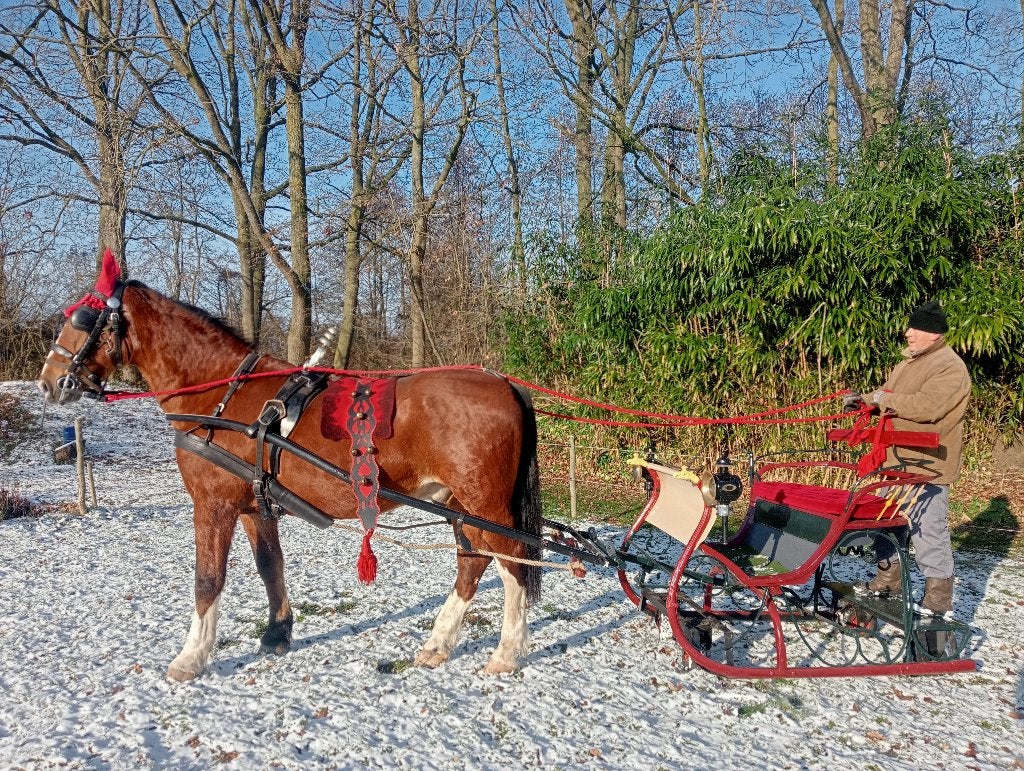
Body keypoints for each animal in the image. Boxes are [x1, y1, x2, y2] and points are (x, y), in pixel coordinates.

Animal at [36, 255, 542, 681]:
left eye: (81, 320)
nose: (48, 381)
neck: (220, 394)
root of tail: (504, 383)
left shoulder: (213, 504)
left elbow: (208, 579)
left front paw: (191, 657)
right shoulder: (252, 505)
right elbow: (269, 565)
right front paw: (277, 633)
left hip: (486, 504)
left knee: (512, 561)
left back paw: (507, 651)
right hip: (460, 502)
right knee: (474, 560)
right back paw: (439, 644)